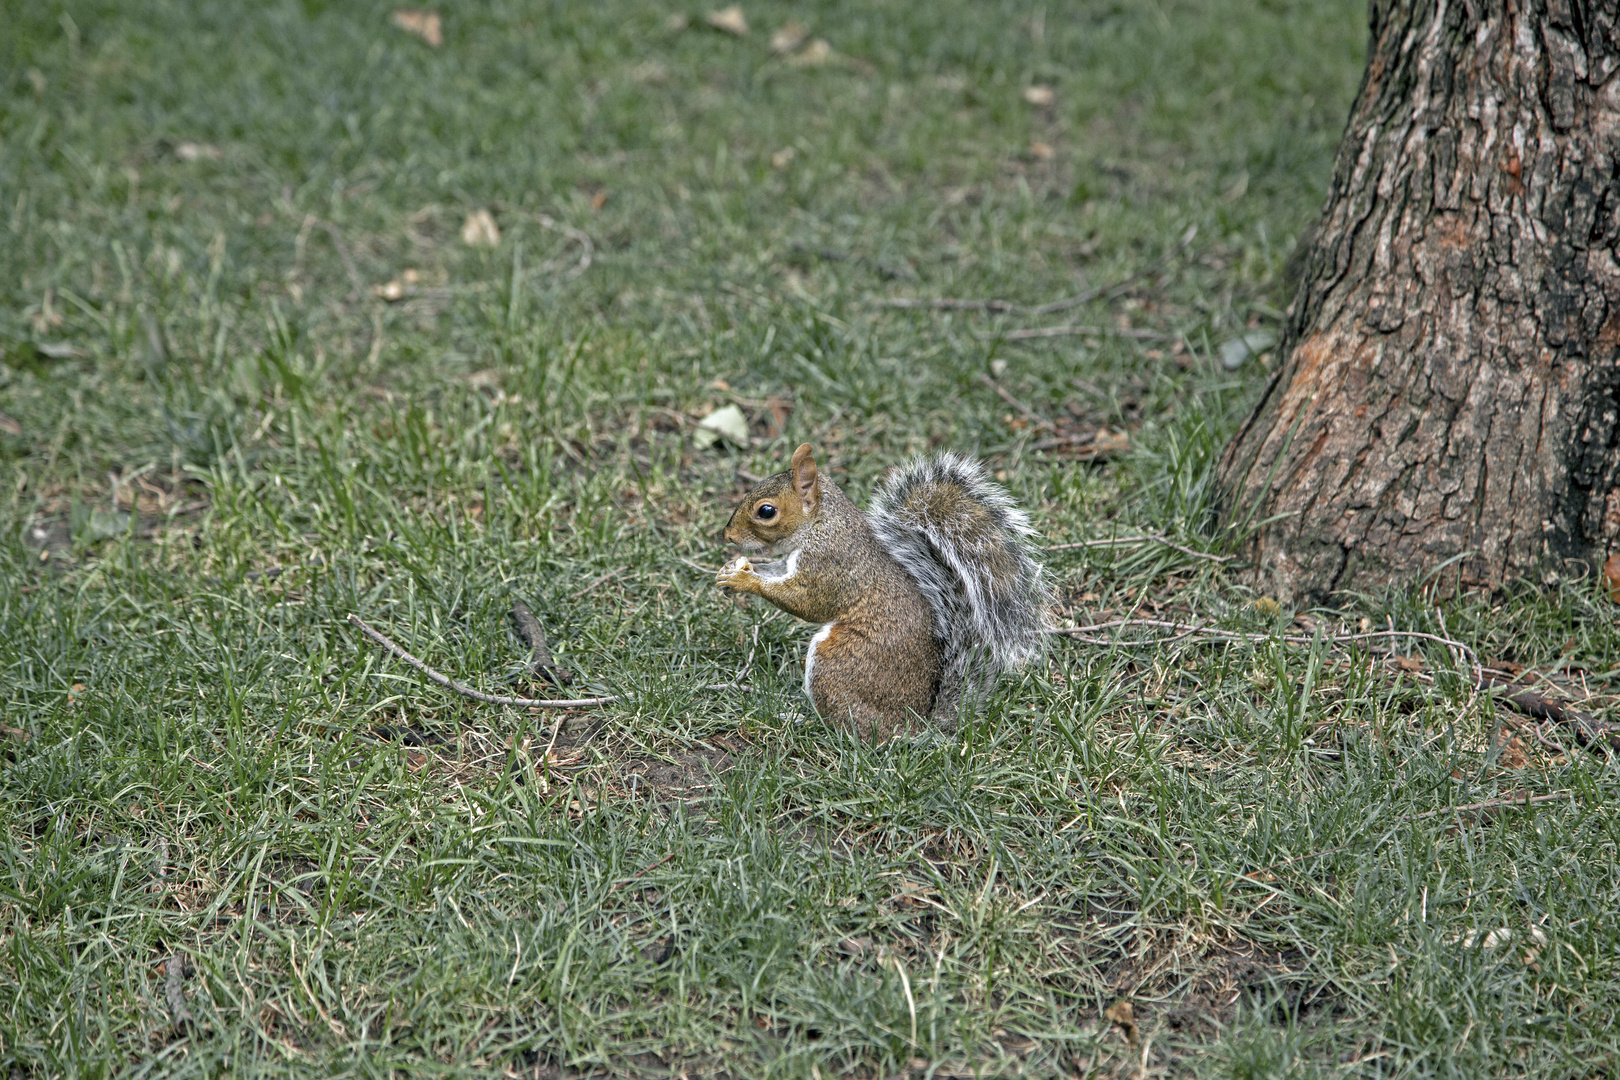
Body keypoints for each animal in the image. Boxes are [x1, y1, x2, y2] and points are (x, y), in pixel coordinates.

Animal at [716, 443, 1043, 738]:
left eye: (766, 511)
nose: (727, 535)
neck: (821, 525)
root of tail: (912, 725)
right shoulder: (791, 562)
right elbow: (776, 572)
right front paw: (732, 570)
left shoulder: (831, 565)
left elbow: (807, 603)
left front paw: (744, 581)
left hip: (837, 664)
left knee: (847, 726)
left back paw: (803, 720)